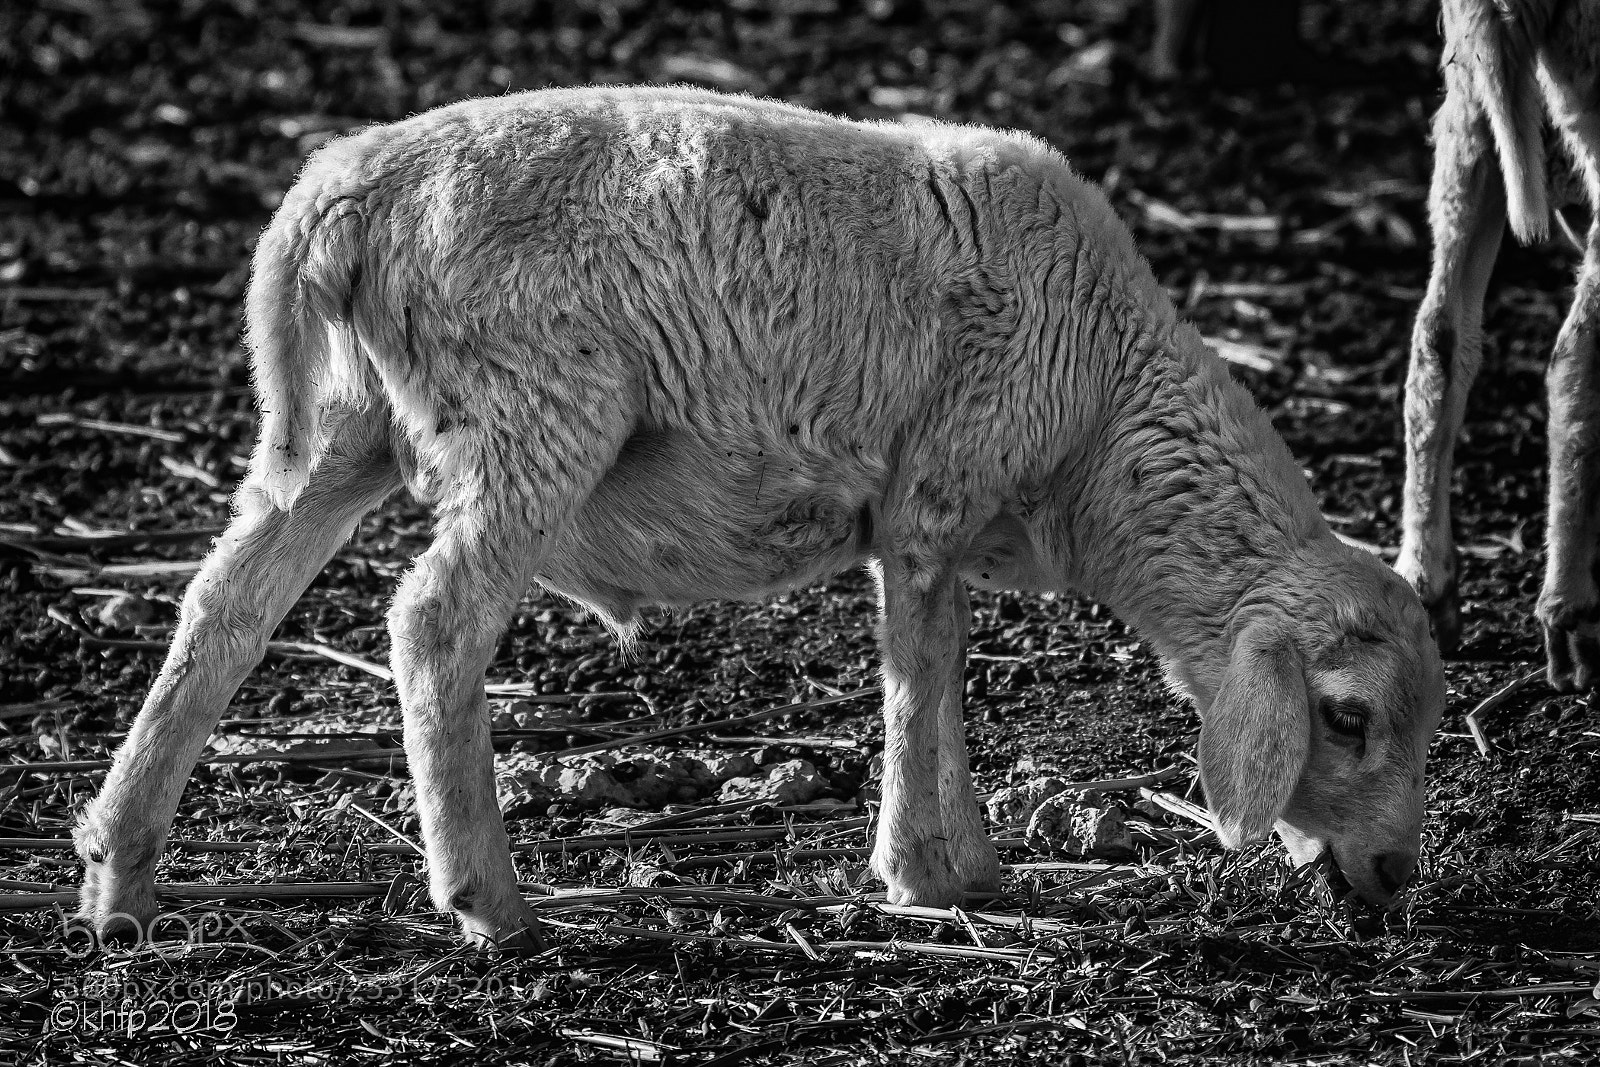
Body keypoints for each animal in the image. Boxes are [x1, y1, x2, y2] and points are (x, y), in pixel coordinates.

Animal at [75, 86, 1445, 948]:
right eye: (1345, 715)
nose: (1396, 874)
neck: (1105, 417)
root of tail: (334, 197)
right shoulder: (935, 486)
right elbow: (925, 674)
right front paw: (924, 873)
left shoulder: (922, 516)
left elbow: (937, 666)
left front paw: (970, 865)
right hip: (532, 411)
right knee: (433, 620)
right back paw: (489, 902)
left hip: (334, 426)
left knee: (225, 605)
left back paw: (119, 873)